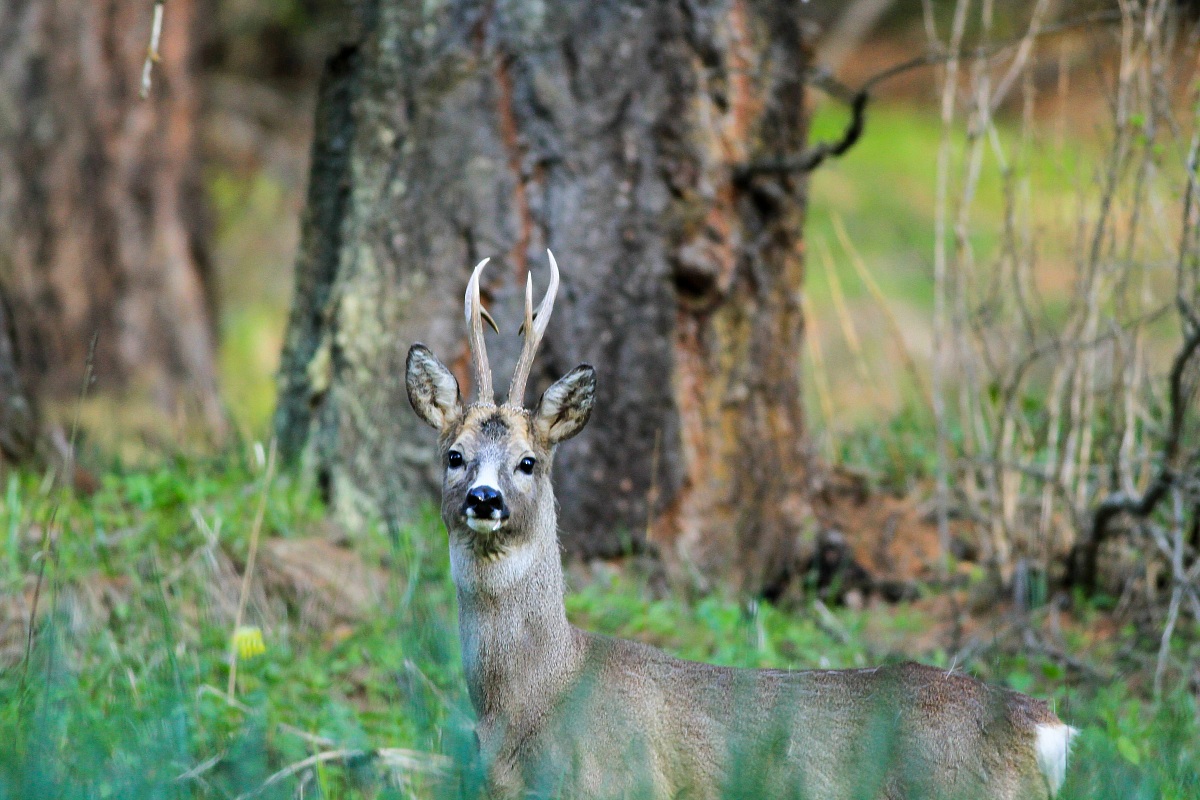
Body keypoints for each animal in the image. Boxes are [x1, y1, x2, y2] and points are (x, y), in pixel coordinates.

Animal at [405, 252, 1077, 800]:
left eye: (529, 461)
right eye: (454, 455)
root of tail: (1047, 729)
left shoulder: (623, 784)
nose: (485, 498)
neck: (531, 702)